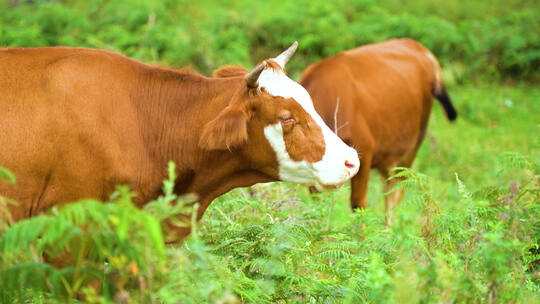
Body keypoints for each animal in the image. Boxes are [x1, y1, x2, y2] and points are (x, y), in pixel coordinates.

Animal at [300, 38, 456, 223]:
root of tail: (414, 44)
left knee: (396, 193)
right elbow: (317, 205)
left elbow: (358, 204)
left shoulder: (363, 150)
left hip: (412, 147)